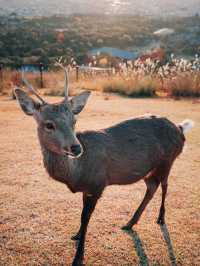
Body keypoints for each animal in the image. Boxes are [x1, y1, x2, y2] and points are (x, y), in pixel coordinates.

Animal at [14, 65, 195, 266]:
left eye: (74, 121)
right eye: (49, 124)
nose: (76, 148)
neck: (76, 174)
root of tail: (180, 129)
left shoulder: (98, 184)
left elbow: (86, 218)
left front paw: (78, 257)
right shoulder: (87, 188)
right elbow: (81, 215)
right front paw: (76, 235)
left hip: (167, 161)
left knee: (164, 185)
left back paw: (160, 219)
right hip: (149, 169)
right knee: (152, 187)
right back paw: (130, 223)